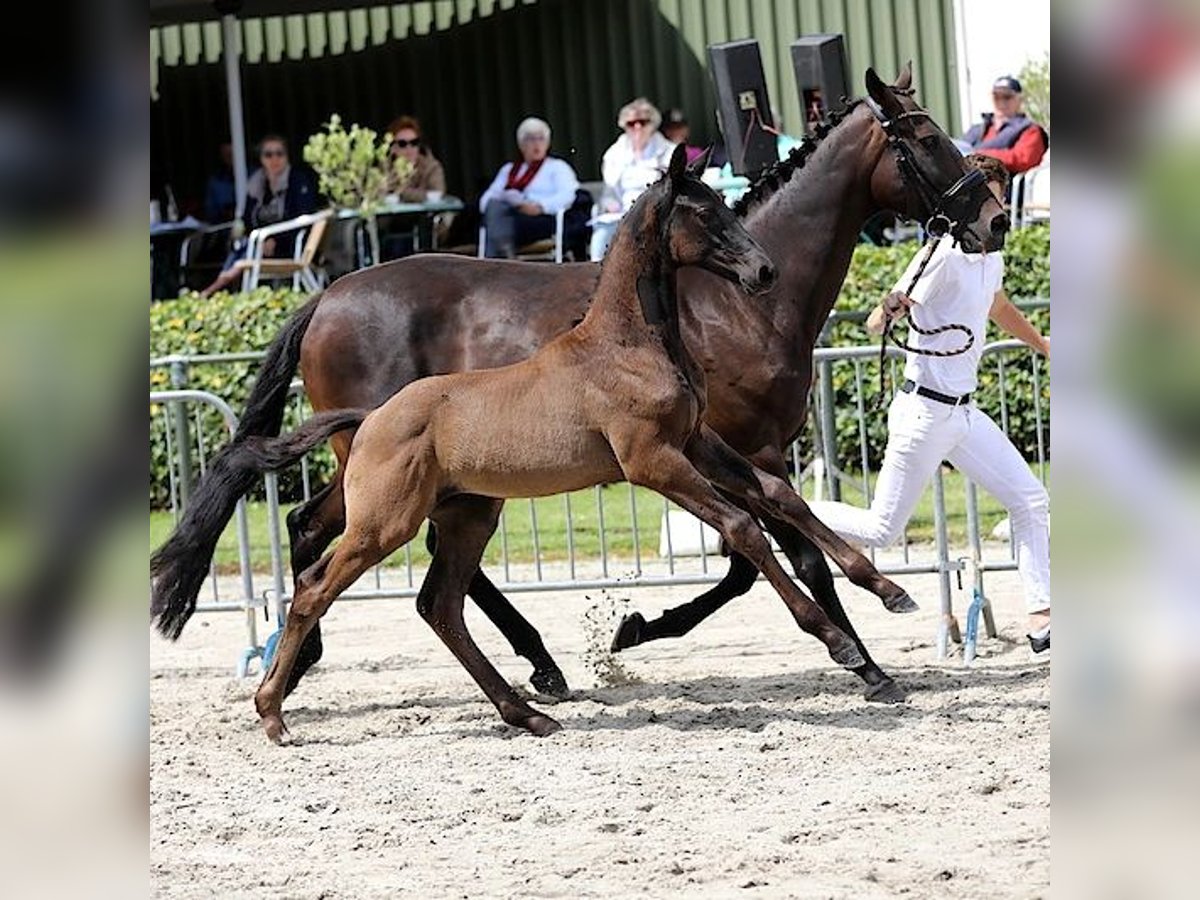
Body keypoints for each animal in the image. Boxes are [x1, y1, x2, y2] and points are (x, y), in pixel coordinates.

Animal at [250, 146, 907, 739]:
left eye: (726, 205)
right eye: (702, 212)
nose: (763, 272)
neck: (627, 343)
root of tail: (371, 418)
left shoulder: (700, 442)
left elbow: (781, 499)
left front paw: (889, 591)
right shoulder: (653, 462)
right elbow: (747, 529)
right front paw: (844, 646)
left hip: (469, 515)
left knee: (438, 604)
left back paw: (528, 711)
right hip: (384, 522)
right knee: (316, 584)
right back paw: (274, 710)